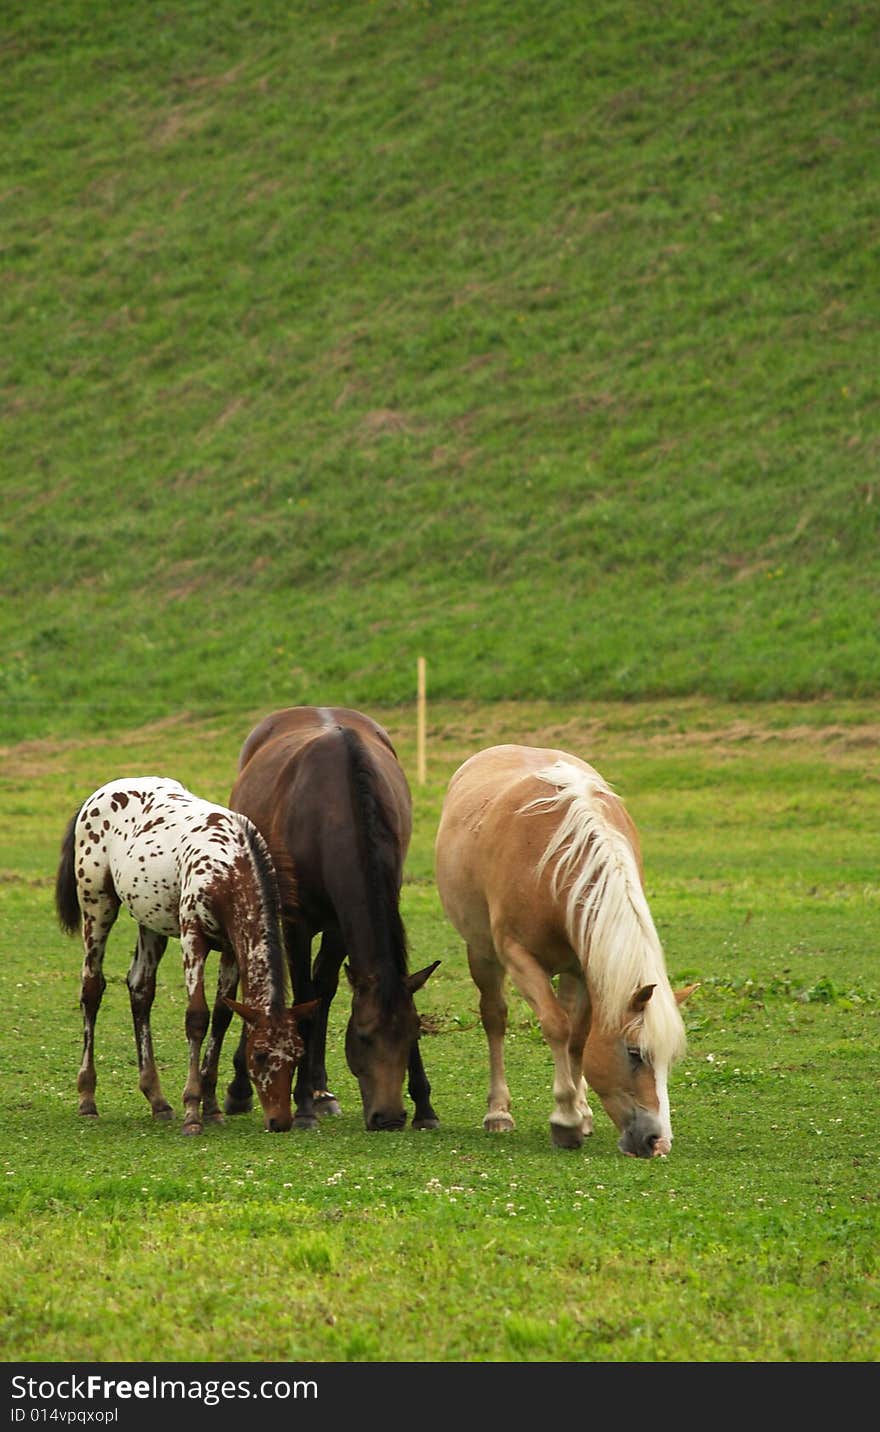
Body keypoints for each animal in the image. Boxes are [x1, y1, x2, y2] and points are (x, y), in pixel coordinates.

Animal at [55, 779, 316, 1134]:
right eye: (260, 1054)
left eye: (298, 1054)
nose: (280, 1121)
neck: (229, 865)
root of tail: (97, 796)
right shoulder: (193, 938)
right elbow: (197, 1017)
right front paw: (193, 1110)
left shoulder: (231, 949)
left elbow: (222, 1015)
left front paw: (212, 1106)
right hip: (97, 906)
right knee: (92, 988)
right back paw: (87, 1099)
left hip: (149, 920)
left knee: (141, 989)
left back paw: (157, 1100)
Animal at [221, 704, 437, 1128]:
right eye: (364, 1037)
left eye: (414, 1035)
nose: (389, 1118)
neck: (333, 812)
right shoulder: (297, 924)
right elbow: (304, 998)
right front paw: (302, 1104)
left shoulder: (342, 924)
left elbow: (323, 993)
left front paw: (424, 1106)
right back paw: (242, 1089)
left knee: (324, 986)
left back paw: (321, 1090)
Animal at [437, 744, 698, 1157]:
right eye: (634, 1053)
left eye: (669, 1059)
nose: (658, 1142)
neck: (555, 864)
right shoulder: (519, 958)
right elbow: (556, 1027)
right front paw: (565, 1121)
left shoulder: (588, 966)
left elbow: (579, 1038)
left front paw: (579, 1110)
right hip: (482, 953)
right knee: (495, 1018)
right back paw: (499, 1112)